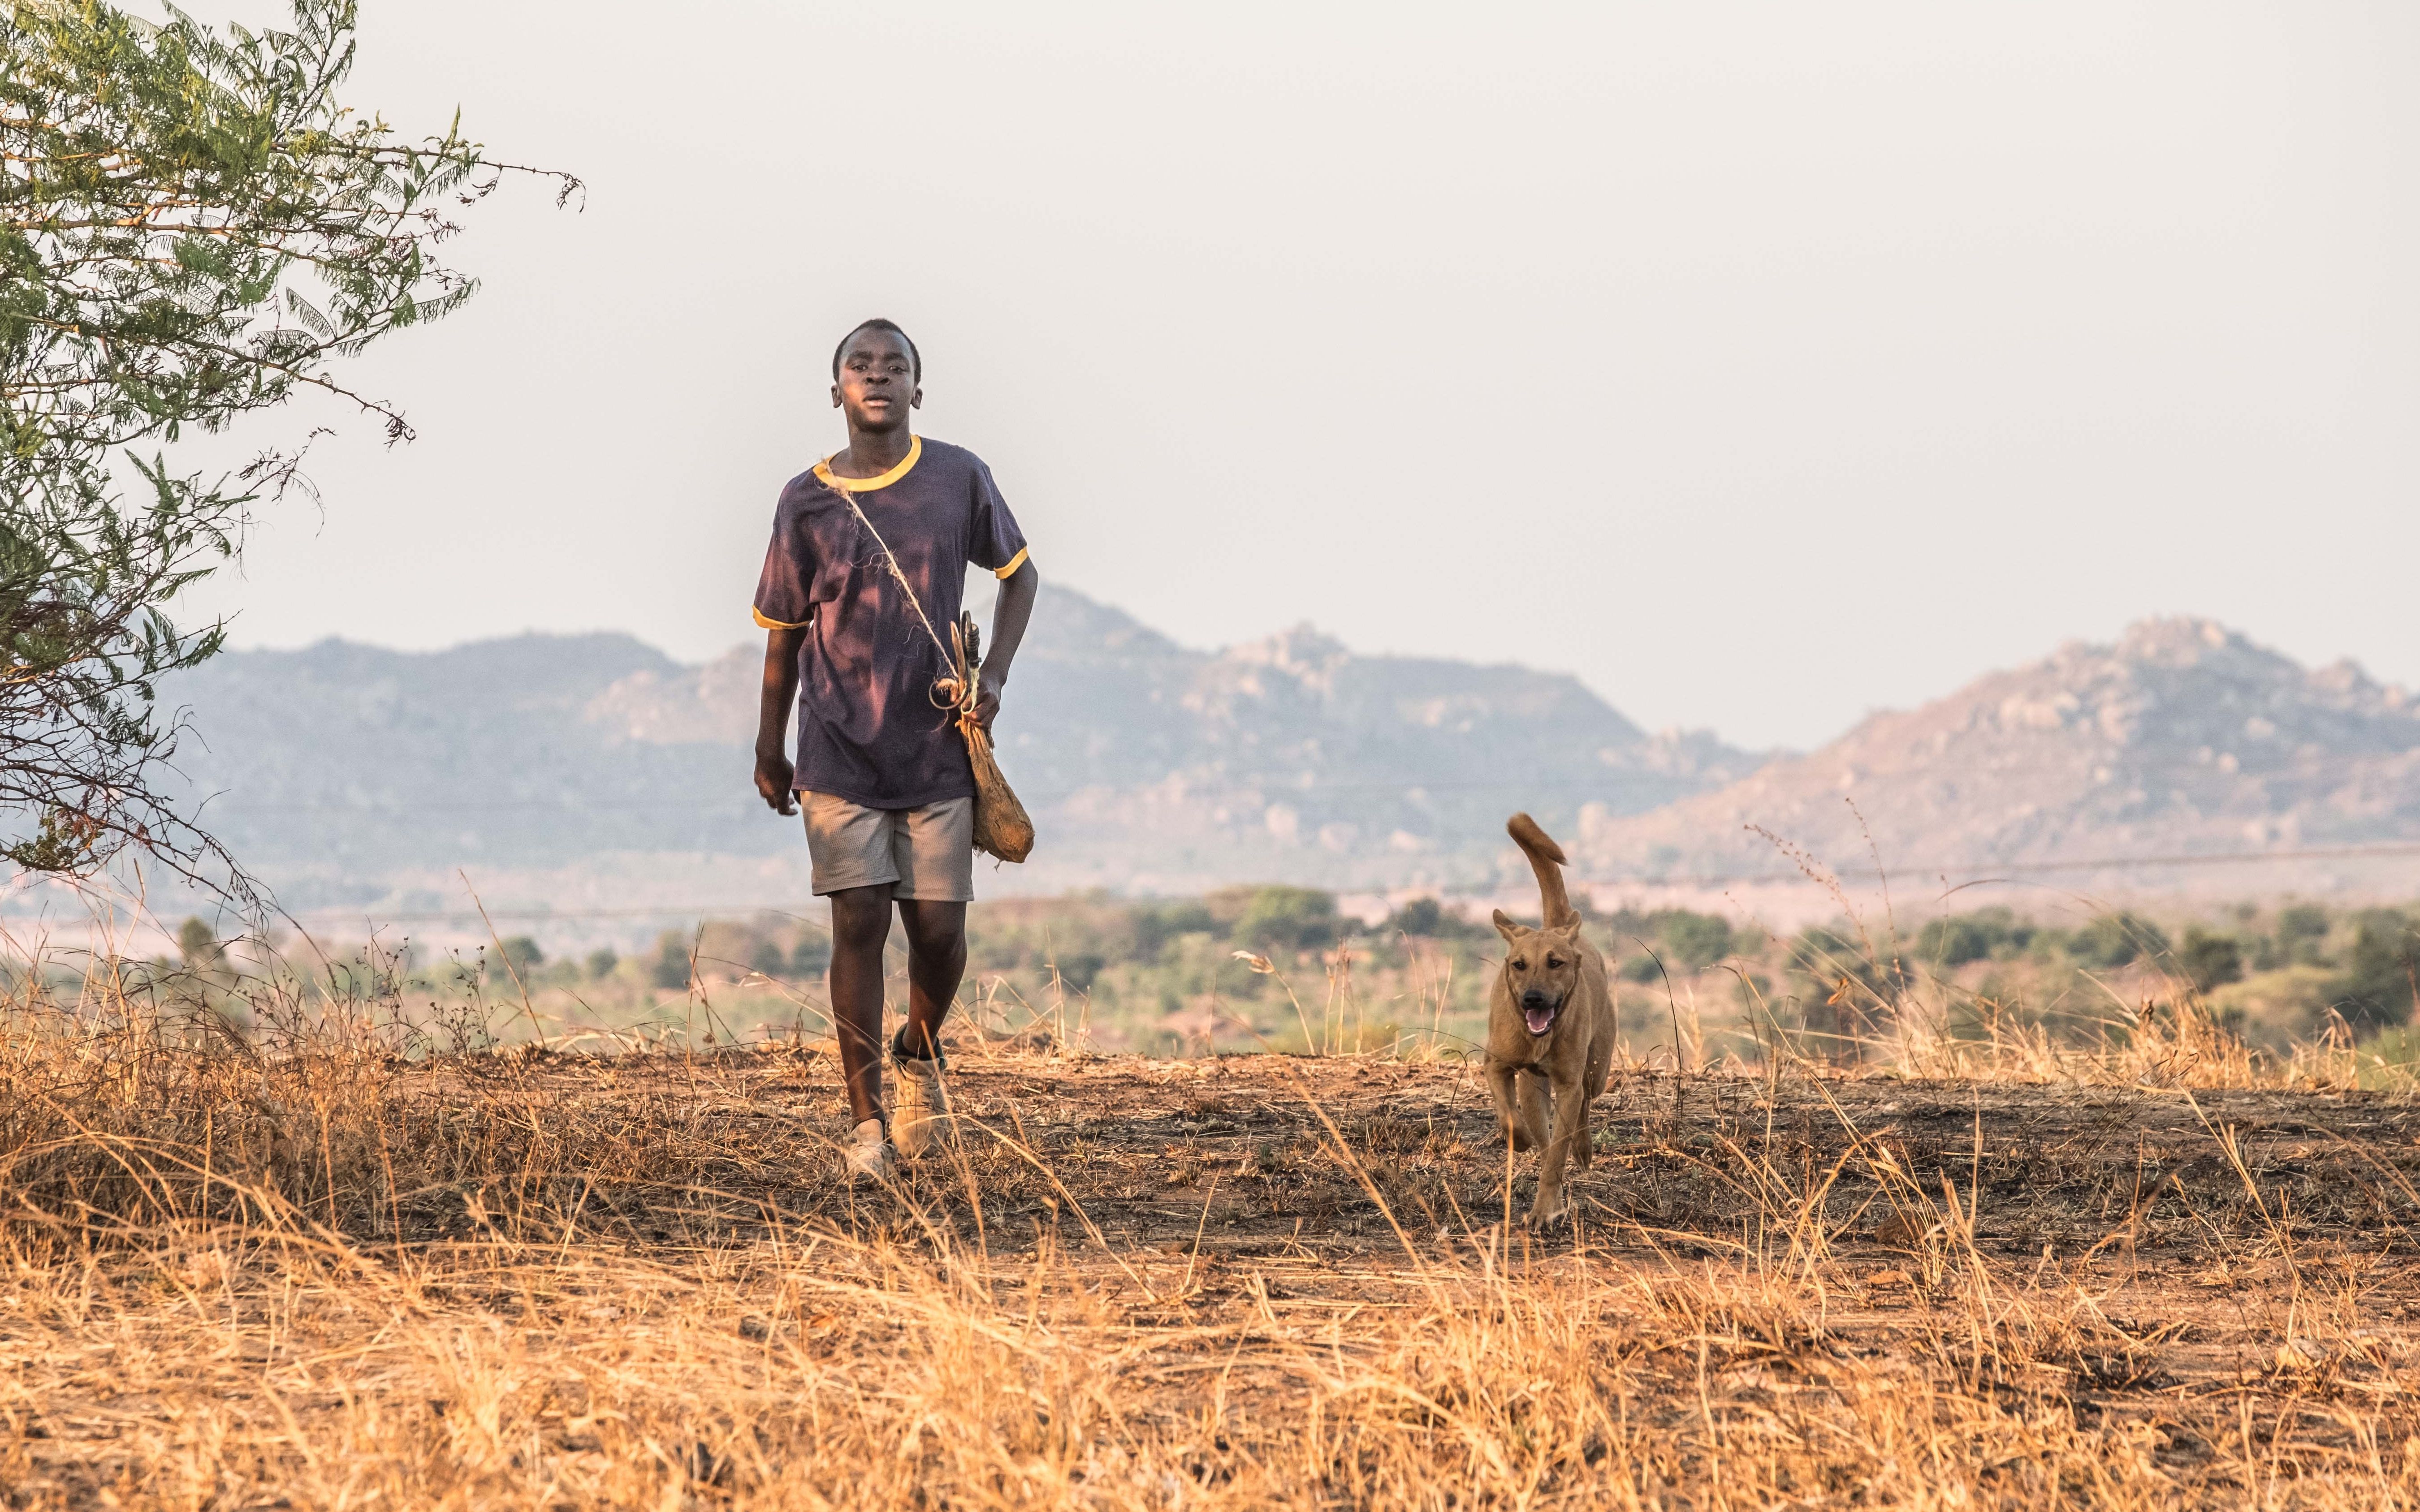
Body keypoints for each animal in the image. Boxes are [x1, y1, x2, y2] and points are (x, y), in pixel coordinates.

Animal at [1481, 813, 1616, 1229]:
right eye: (1519, 965)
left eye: (1555, 962)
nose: (1533, 999)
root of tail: (1558, 925)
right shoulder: (1497, 1065)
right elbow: (1514, 1121)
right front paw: (1520, 1141)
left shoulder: (1570, 1084)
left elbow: (1558, 1154)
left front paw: (1543, 1211)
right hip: (1533, 1085)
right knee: (1544, 1135)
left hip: (1596, 1069)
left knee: (1585, 1107)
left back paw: (1582, 1153)